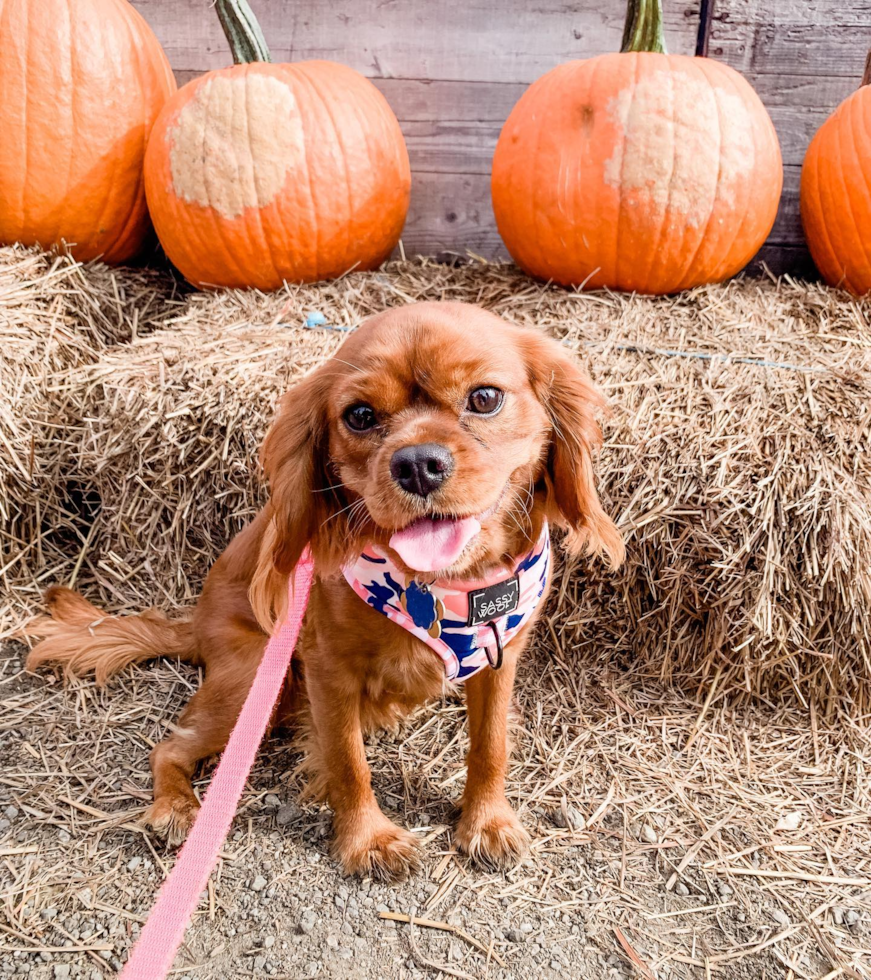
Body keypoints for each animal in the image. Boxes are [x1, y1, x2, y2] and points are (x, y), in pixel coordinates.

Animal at [22, 302, 620, 876]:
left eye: (486, 398)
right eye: (360, 415)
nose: (417, 464)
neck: (437, 588)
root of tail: (194, 622)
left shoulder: (499, 658)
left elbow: (490, 747)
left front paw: (487, 822)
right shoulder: (327, 671)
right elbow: (347, 762)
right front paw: (368, 841)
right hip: (256, 678)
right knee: (171, 746)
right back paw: (175, 807)